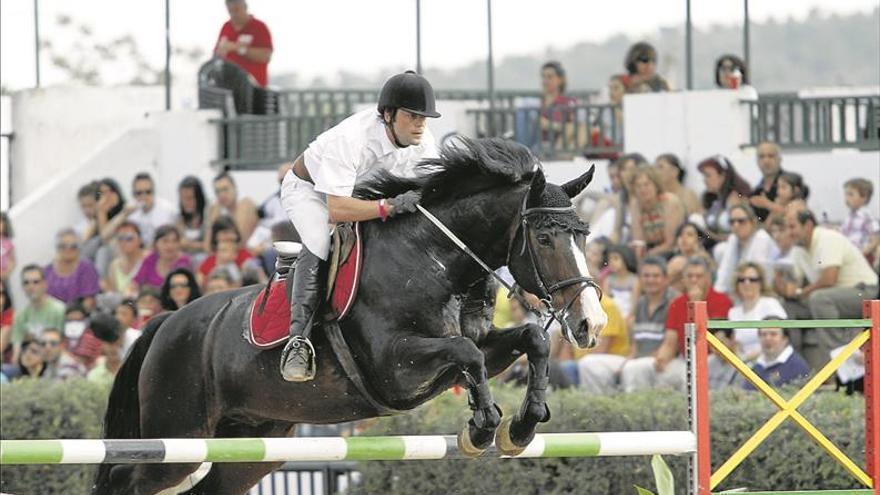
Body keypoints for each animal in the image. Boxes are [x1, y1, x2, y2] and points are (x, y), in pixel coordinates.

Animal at [94, 138, 604, 494]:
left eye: (584, 235)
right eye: (544, 239)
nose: (590, 324)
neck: (436, 259)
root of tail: (165, 323)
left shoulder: (481, 346)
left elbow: (528, 341)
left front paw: (521, 427)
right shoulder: (396, 367)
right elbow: (466, 353)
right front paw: (482, 428)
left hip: (253, 446)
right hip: (178, 438)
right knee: (124, 479)